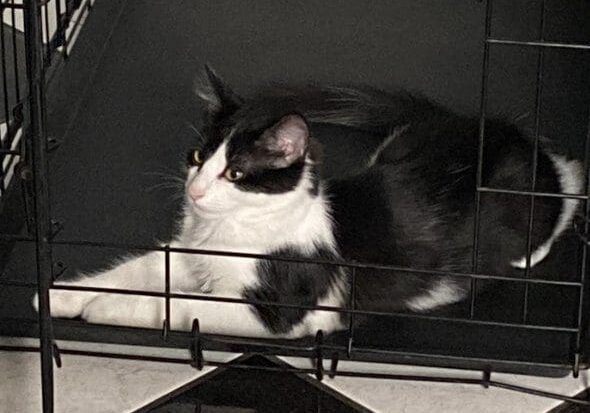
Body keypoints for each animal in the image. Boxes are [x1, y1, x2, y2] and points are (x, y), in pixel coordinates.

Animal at [34, 67, 584, 338]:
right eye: (197, 157)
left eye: (236, 174)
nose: (195, 190)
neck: (227, 233)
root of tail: (504, 129)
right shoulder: (185, 255)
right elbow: (139, 269)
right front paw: (61, 295)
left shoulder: (277, 309)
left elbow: (182, 306)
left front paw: (104, 308)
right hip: (400, 142)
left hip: (531, 198)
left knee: (573, 183)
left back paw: (532, 248)